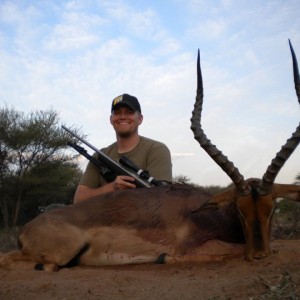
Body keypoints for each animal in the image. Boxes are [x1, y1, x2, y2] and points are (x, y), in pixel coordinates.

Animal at [0, 40, 300, 272]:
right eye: (239, 208)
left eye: (272, 207)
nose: (259, 255)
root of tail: (27, 228)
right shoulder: (194, 249)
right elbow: (232, 251)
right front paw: (162, 258)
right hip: (59, 253)